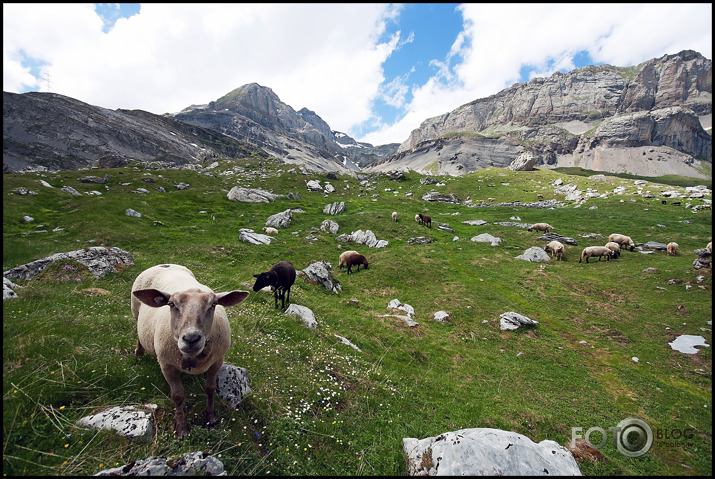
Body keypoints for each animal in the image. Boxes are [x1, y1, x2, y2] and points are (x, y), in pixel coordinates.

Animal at [130, 264, 250, 440]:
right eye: (171, 304)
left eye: (213, 305)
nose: (191, 338)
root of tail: (165, 264)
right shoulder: (166, 364)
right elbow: (178, 395)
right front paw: (181, 428)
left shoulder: (217, 361)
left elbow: (210, 388)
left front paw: (210, 418)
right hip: (135, 312)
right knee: (139, 334)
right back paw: (138, 354)